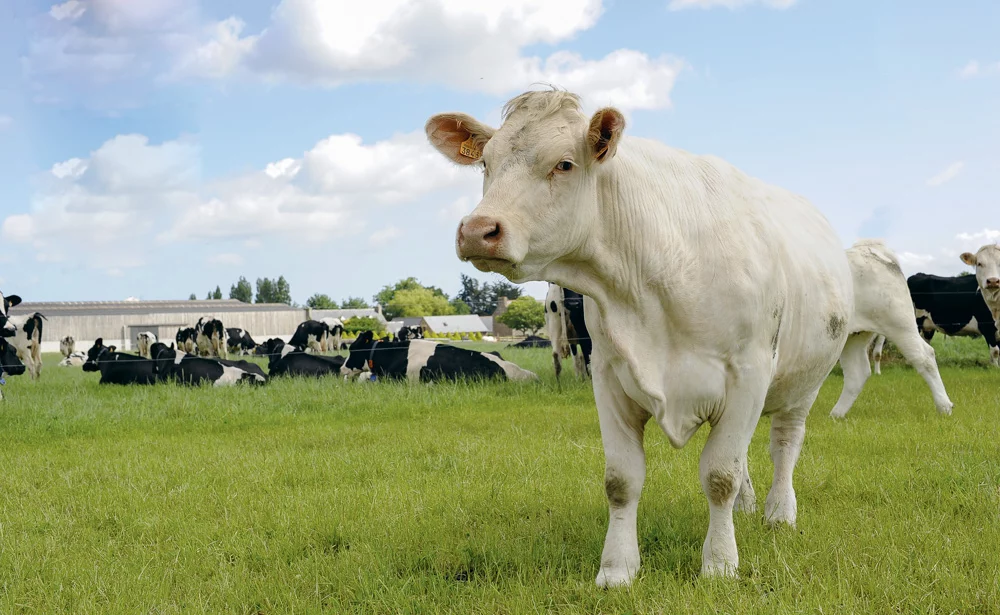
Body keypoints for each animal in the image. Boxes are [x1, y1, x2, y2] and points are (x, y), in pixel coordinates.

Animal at [426, 88, 856, 588]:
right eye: (485, 164)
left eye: (564, 164)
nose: (478, 230)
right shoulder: (609, 376)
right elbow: (622, 480)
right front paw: (617, 568)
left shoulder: (748, 374)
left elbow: (720, 476)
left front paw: (719, 563)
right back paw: (749, 507)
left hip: (805, 382)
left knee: (785, 443)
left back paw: (778, 512)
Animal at [828, 239, 952, 418]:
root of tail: (869, 248)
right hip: (854, 335)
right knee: (857, 372)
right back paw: (836, 415)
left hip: (900, 324)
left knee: (925, 356)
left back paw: (944, 407)